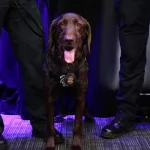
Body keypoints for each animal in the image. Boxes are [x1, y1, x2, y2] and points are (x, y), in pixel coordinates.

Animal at [43, 12, 91, 149]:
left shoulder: (80, 96)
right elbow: (50, 126)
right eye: (61, 24)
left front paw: (76, 144)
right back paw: (60, 116)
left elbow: (77, 124)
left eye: (79, 25)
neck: (67, 66)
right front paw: (50, 144)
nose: (68, 40)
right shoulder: (50, 97)